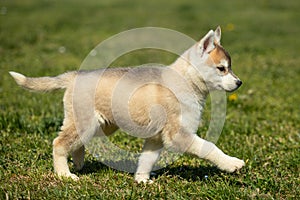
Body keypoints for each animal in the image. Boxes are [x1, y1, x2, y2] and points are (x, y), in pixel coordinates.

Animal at [9, 26, 244, 183]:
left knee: (76, 143)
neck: (186, 81)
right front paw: (232, 163)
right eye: (222, 68)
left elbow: (147, 160)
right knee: (59, 143)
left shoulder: (156, 138)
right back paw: (64, 174)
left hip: (101, 125)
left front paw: (141, 181)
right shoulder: (177, 134)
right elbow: (209, 147)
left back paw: (78, 162)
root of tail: (75, 75)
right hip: (85, 123)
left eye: (230, 67)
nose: (239, 82)